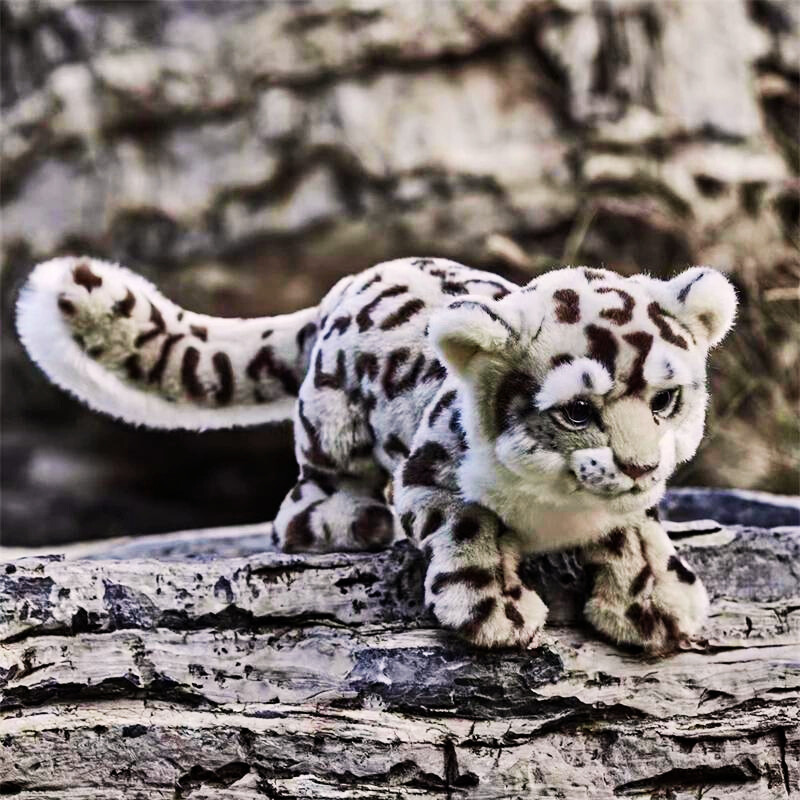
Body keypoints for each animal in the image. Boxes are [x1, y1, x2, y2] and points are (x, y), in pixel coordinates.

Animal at [16, 255, 737, 652]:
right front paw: (494, 610)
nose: (641, 466)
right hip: (329, 422)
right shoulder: (430, 477)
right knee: (306, 497)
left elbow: (634, 532)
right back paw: (349, 520)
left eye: (666, 398)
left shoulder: (626, 507)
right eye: (578, 410)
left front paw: (655, 603)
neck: (559, 509)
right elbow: (471, 523)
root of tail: (345, 284)